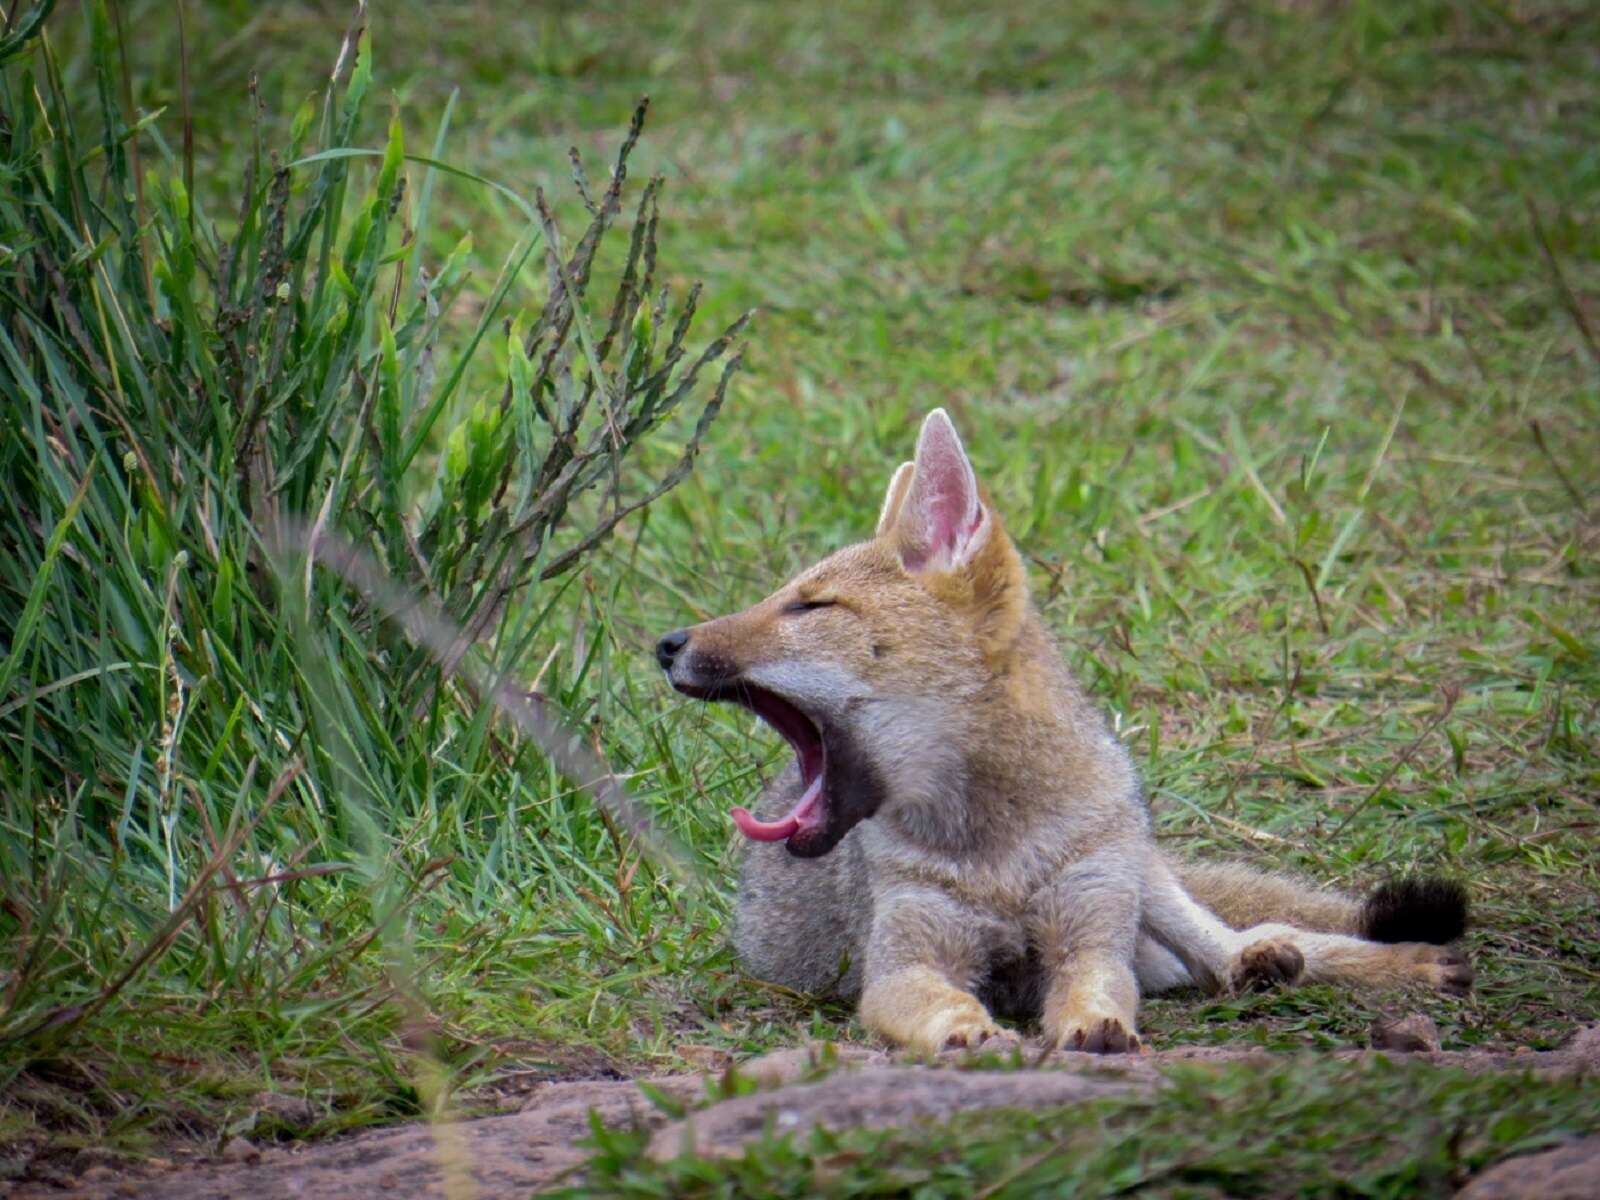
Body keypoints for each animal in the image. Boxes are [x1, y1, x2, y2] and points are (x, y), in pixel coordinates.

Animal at [652, 412, 1472, 1049]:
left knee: (1248, 941)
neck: (999, 851)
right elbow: (942, 1003)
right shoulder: (906, 963)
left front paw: (1094, 1027)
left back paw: (1375, 960)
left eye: (809, 606)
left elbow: (1098, 989)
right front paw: (970, 1030)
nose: (665, 643)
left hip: (1140, 871)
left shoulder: (1091, 930)